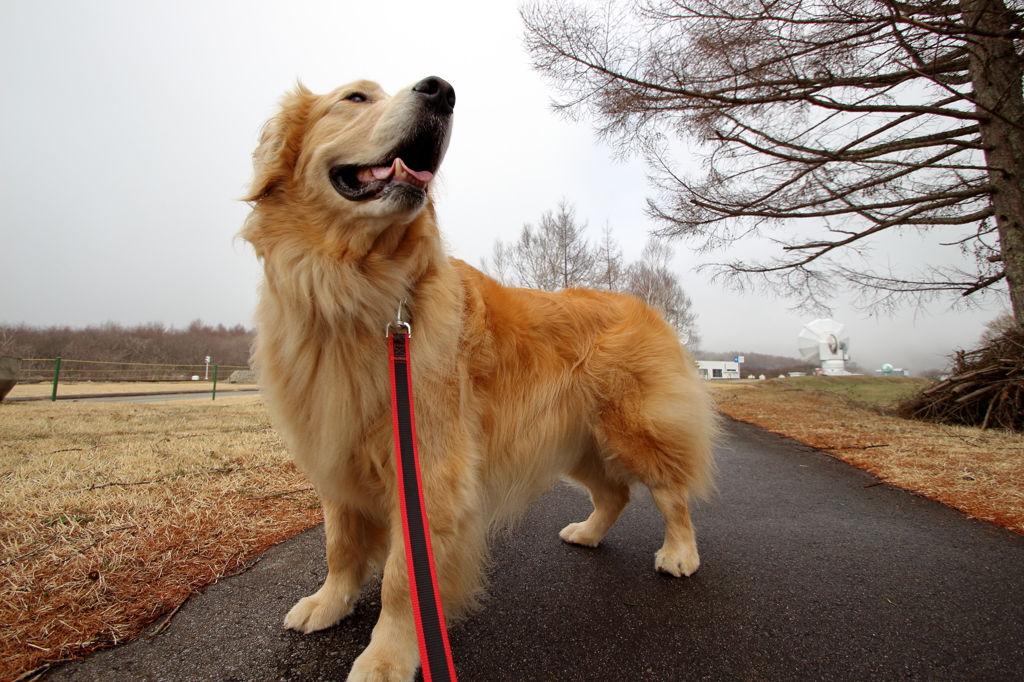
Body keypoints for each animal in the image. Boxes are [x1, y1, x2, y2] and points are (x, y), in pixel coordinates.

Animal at [242, 76, 716, 675]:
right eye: (355, 98)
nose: (440, 89)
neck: (355, 290)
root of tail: (645, 306)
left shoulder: (428, 471)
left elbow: (403, 579)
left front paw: (388, 657)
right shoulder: (336, 455)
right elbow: (340, 545)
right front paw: (329, 603)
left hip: (633, 432)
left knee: (671, 492)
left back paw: (679, 552)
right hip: (577, 443)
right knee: (615, 495)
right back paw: (587, 533)